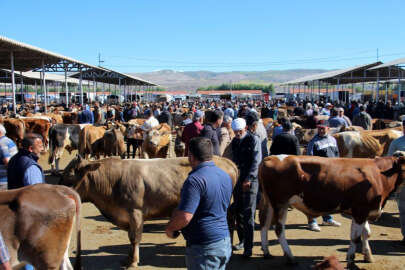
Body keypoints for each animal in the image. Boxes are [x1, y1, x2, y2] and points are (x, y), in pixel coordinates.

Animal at [59, 155, 237, 268]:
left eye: (70, 173)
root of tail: (224, 160)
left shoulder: (135, 213)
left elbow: (135, 238)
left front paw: (133, 262)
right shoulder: (127, 217)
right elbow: (130, 238)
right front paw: (128, 258)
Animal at [258, 155, 404, 266]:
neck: (378, 175)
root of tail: (271, 157)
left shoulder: (362, 211)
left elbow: (366, 233)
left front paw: (368, 256)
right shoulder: (360, 211)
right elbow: (356, 237)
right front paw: (351, 259)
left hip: (269, 202)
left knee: (264, 224)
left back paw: (266, 252)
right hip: (280, 203)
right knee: (278, 229)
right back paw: (290, 257)